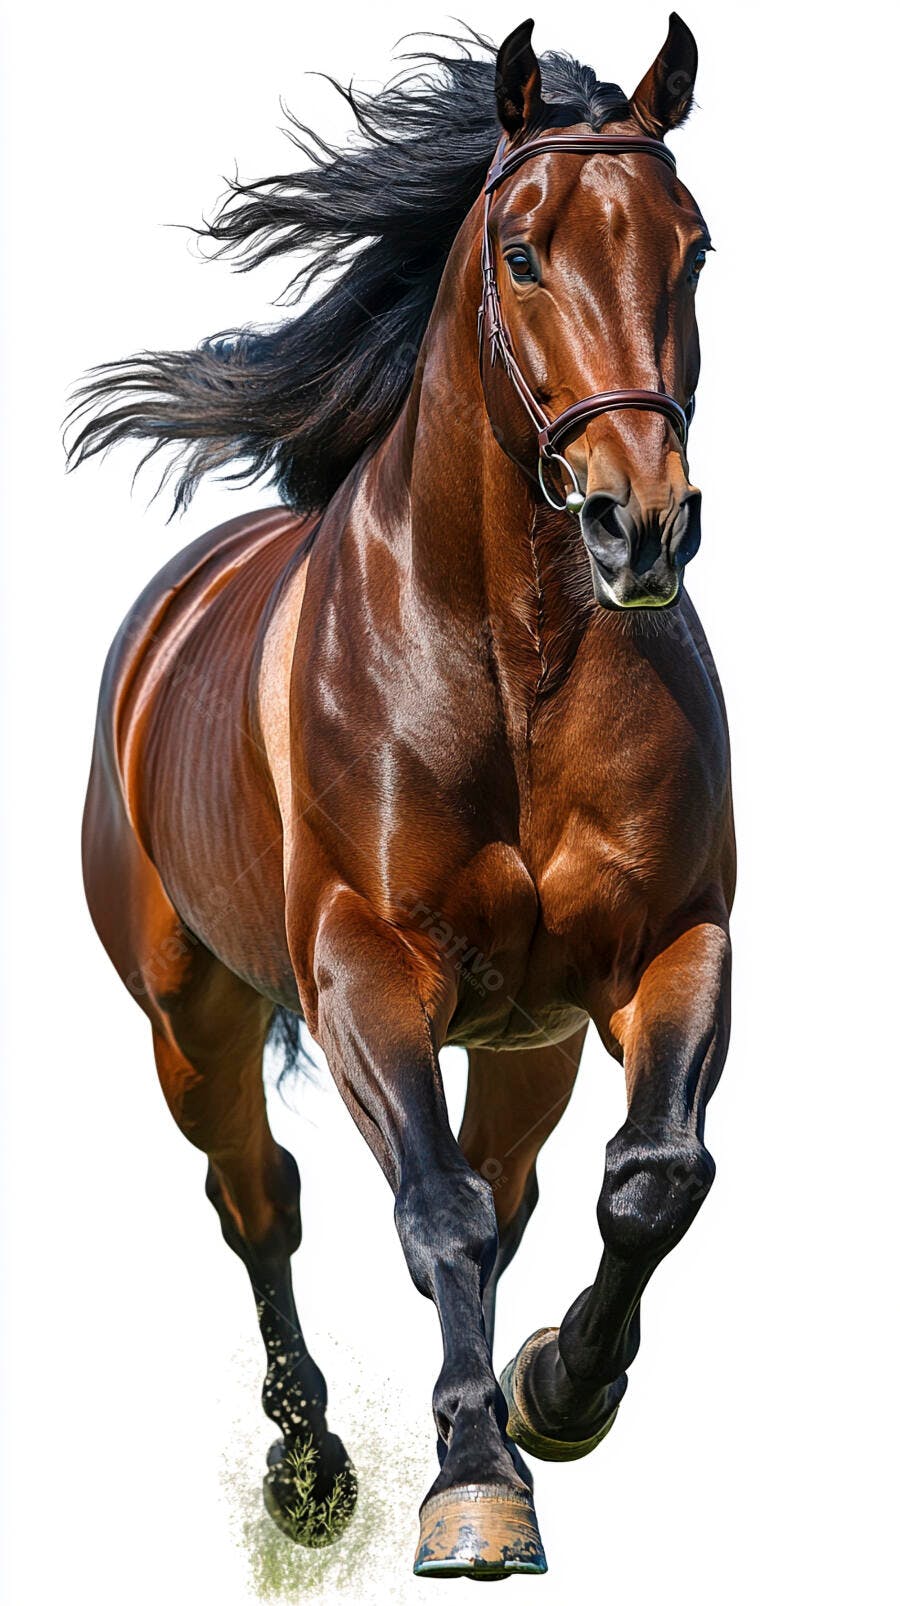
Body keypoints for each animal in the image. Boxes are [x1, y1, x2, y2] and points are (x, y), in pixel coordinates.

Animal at [68, 16, 734, 1580]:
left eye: (694, 247)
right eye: (524, 253)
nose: (641, 524)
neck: (513, 668)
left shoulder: (676, 940)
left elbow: (652, 1176)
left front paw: (555, 1392)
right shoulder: (365, 971)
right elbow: (433, 1216)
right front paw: (473, 1488)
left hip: (529, 1041)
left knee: (512, 1188)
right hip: (192, 1022)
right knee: (262, 1202)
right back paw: (311, 1469)